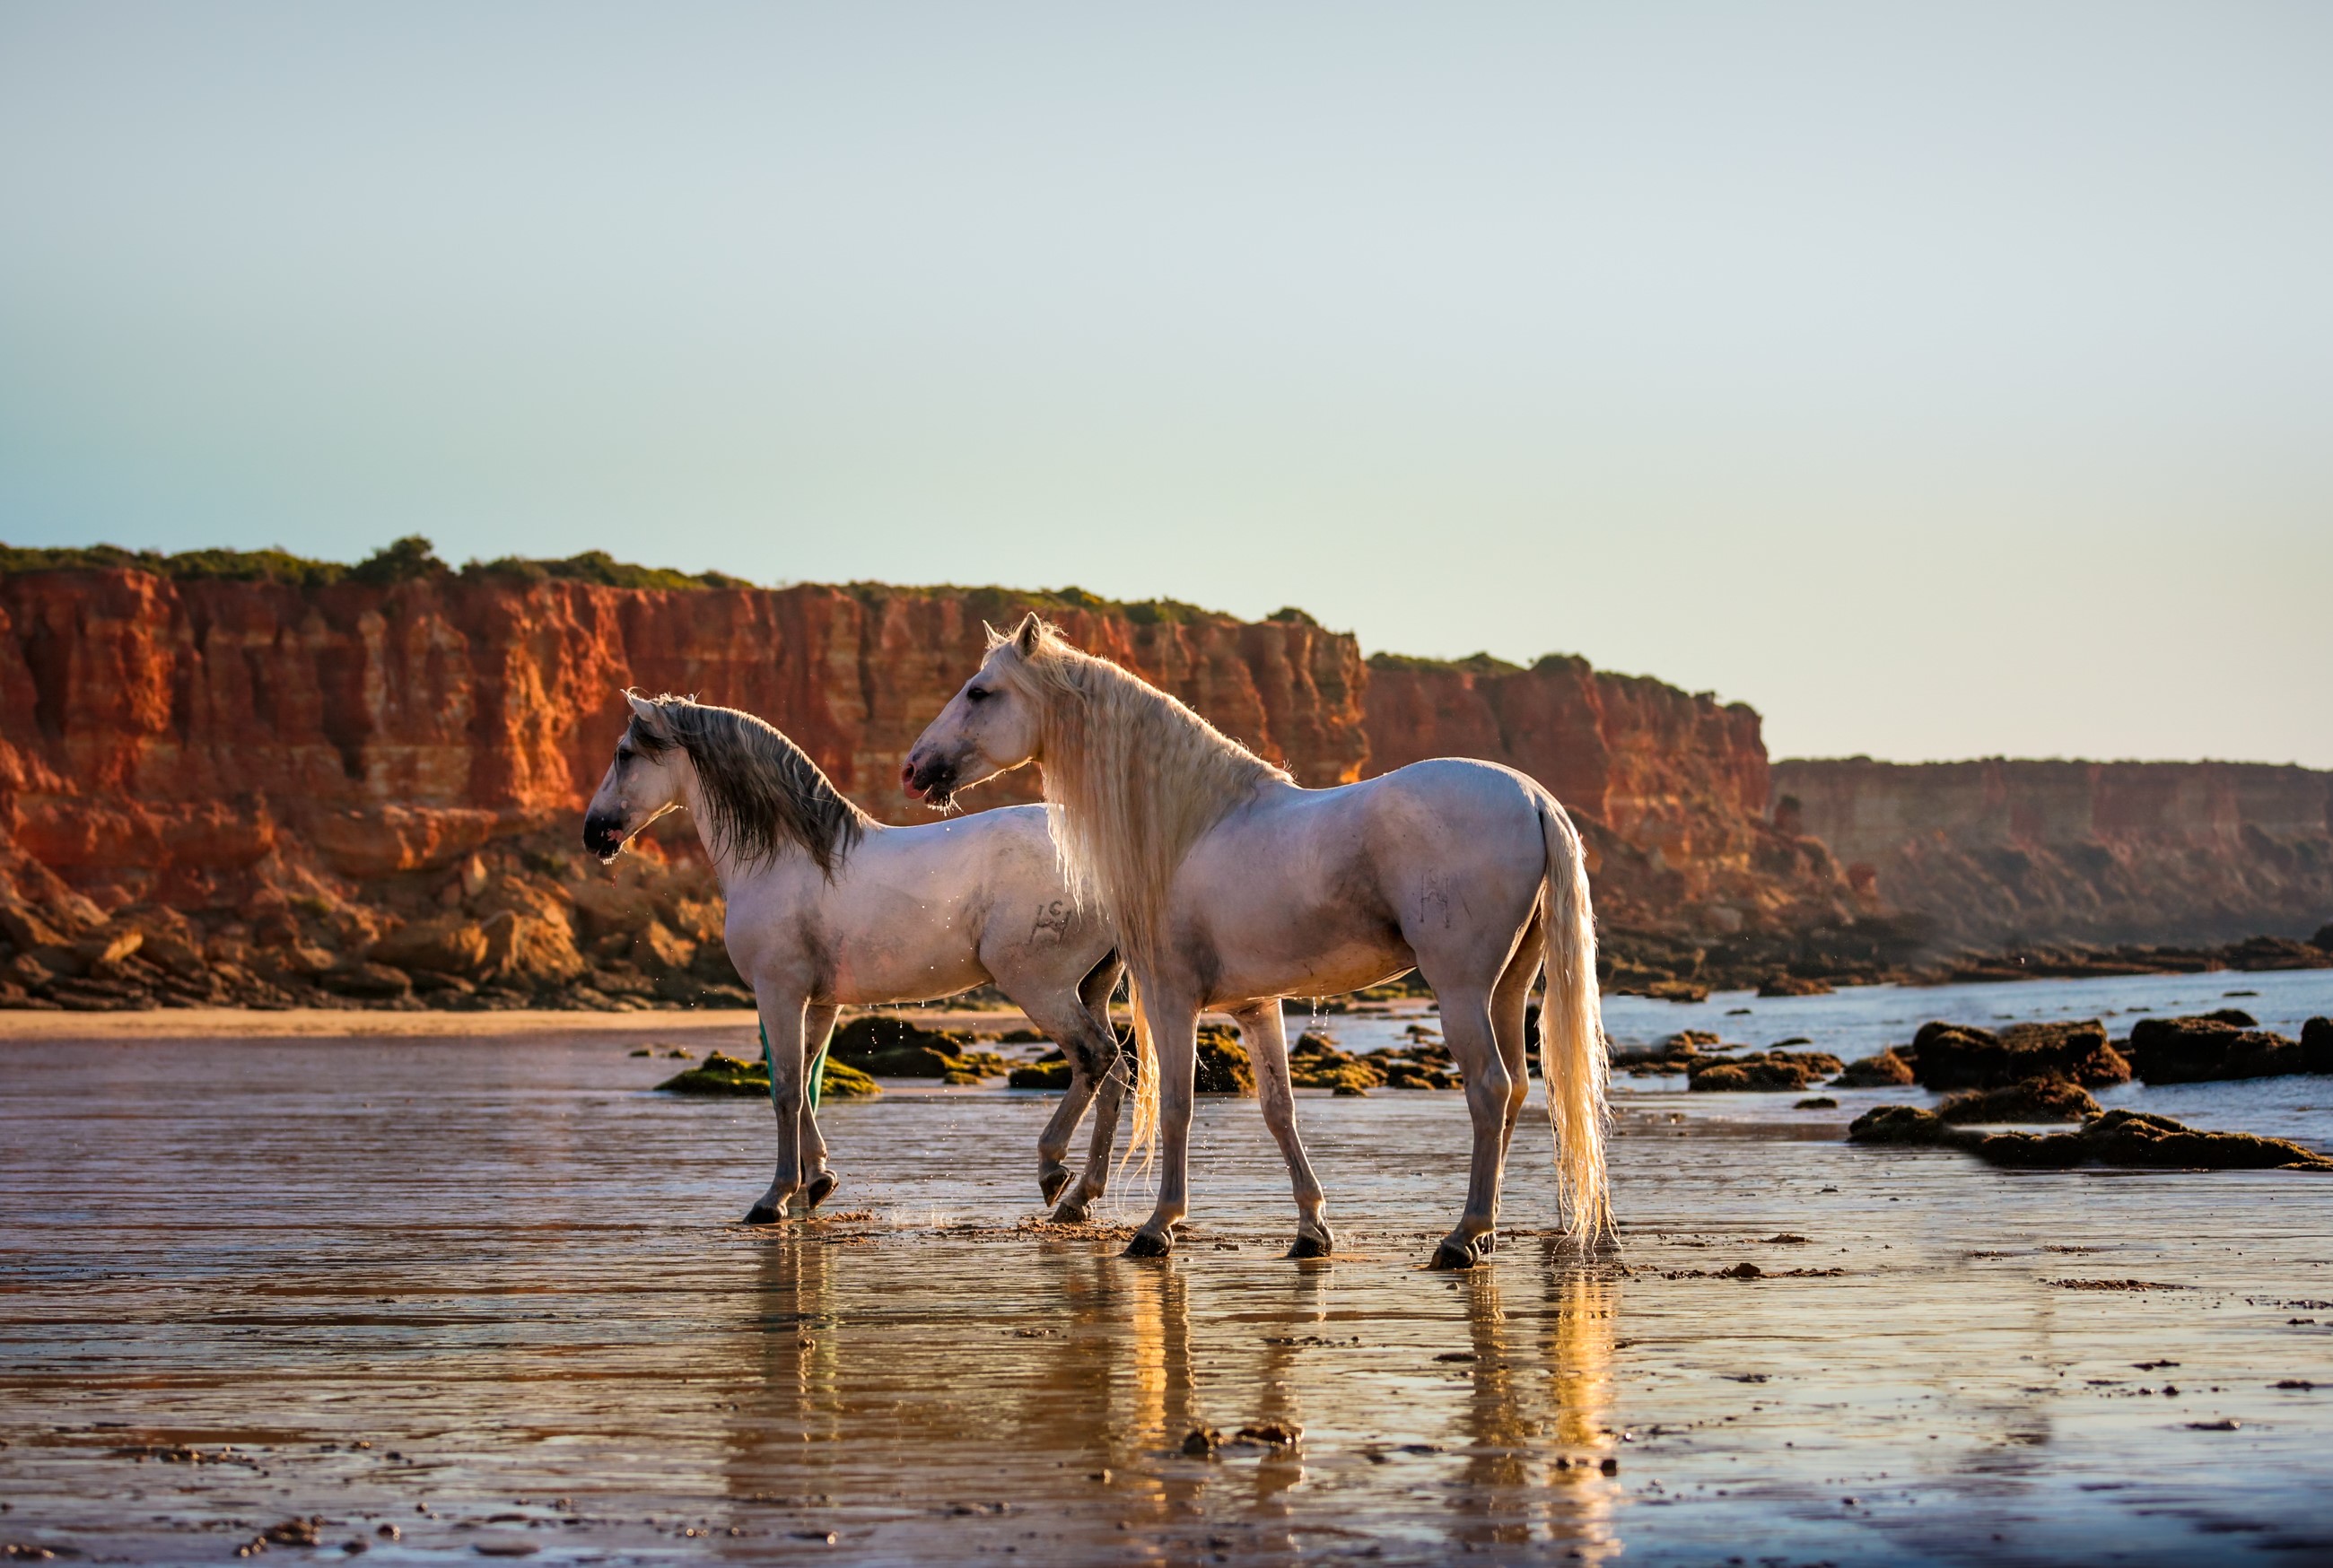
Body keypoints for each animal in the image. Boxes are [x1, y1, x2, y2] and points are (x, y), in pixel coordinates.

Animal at [583, 695, 1129, 1223]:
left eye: (623, 754)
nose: (593, 833)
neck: (788, 858)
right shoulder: (822, 1002)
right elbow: (807, 1081)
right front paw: (819, 1179)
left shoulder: (779, 993)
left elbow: (784, 1087)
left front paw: (775, 1196)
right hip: (1090, 989)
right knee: (1118, 1072)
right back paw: (1081, 1197)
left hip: (1040, 986)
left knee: (1094, 1057)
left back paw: (1052, 1168)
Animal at [900, 620, 1614, 1269]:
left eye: (980, 692)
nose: (913, 769)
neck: (1193, 827)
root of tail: (1531, 797)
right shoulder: (1255, 1006)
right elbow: (1279, 1110)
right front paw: (1311, 1229)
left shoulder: (1172, 999)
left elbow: (1178, 1104)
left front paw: (1156, 1224)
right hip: (1507, 989)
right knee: (1517, 1089)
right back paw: (1482, 1234)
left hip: (1461, 989)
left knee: (1490, 1088)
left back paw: (1462, 1237)